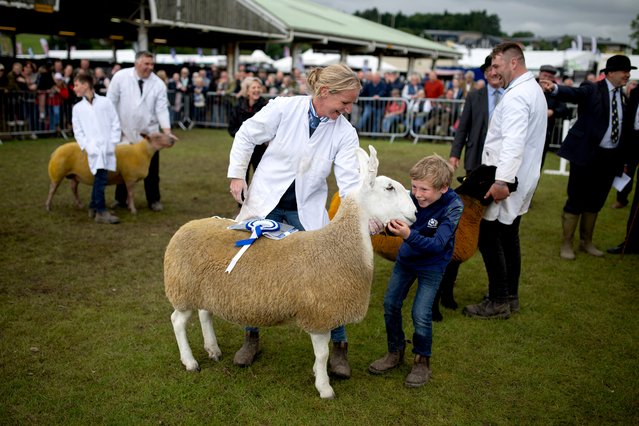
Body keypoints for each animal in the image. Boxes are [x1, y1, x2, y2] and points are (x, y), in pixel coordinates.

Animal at [162, 146, 418, 400]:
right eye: (389, 188)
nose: (415, 213)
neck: (339, 243)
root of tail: (187, 226)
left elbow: (323, 353)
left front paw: (318, 373)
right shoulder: (319, 314)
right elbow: (322, 354)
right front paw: (324, 387)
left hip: (205, 289)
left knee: (205, 314)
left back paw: (213, 349)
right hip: (182, 287)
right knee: (177, 321)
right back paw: (190, 361)